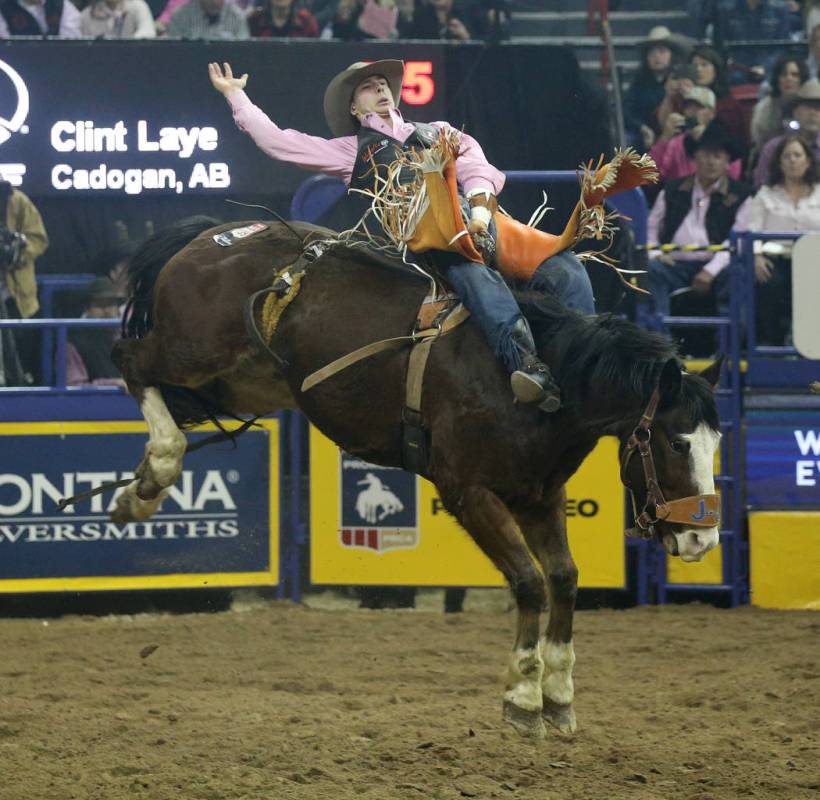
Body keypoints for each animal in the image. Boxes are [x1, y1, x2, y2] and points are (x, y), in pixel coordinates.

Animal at [110, 217, 724, 736]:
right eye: (676, 441)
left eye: (717, 445)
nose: (702, 538)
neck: (538, 381)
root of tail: (211, 235)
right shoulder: (468, 492)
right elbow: (528, 581)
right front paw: (523, 699)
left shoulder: (539, 494)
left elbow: (565, 578)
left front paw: (559, 695)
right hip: (193, 352)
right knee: (130, 360)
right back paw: (157, 466)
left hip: (245, 383)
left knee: (167, 398)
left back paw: (138, 490)